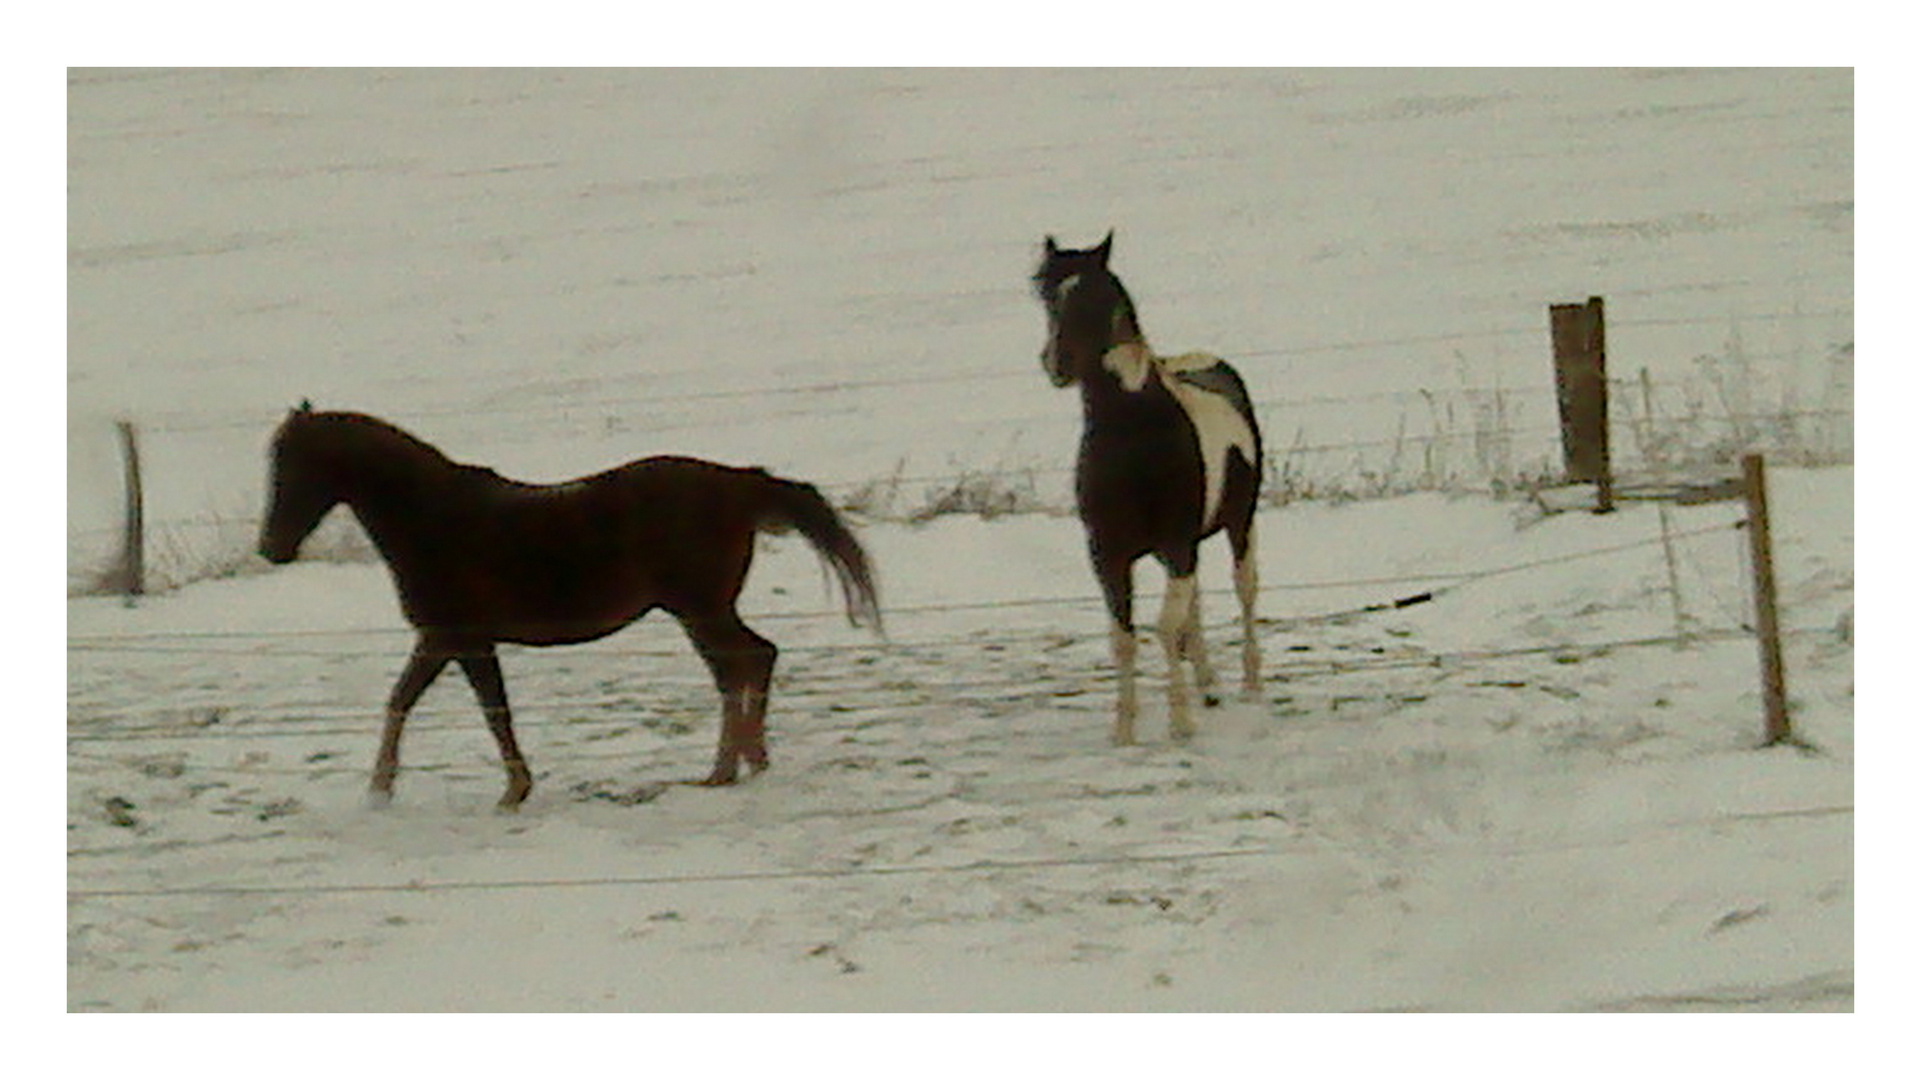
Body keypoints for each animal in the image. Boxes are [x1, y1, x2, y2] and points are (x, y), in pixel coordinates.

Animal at [257, 403, 883, 807]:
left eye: (296, 464)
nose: (271, 549)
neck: (433, 520)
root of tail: (739, 483)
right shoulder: (446, 640)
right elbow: (408, 702)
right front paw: (383, 789)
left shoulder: (458, 638)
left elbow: (486, 711)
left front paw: (509, 790)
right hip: (699, 610)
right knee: (749, 661)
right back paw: (746, 762)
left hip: (699, 608)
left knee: (745, 662)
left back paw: (728, 769)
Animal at [1037, 231, 1260, 745]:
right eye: (1046, 294)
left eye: (1098, 296)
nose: (1057, 365)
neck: (1133, 436)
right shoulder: (1108, 555)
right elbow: (1124, 638)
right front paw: (1124, 730)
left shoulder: (1177, 545)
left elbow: (1163, 628)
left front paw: (1179, 724)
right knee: (1194, 605)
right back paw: (1208, 688)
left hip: (1239, 523)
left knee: (1245, 591)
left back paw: (1250, 684)